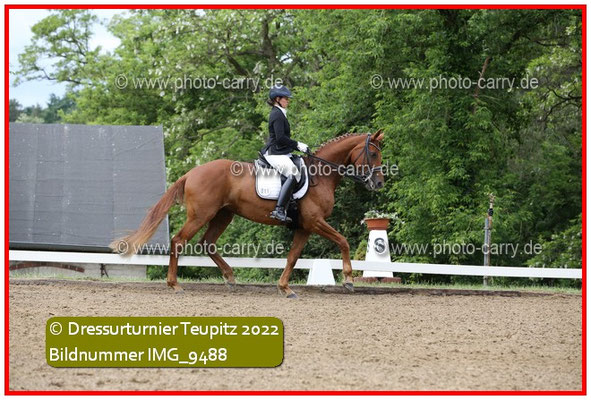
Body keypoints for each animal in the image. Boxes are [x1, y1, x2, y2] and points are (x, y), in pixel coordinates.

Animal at [110, 130, 385, 298]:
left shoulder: (304, 227)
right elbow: (343, 241)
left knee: (207, 243)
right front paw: (348, 280)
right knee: (179, 241)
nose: (379, 183)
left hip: (224, 215)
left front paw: (285, 288)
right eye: (373, 153)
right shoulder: (315, 222)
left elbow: (292, 257)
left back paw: (230, 278)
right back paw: (174, 284)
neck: (321, 175)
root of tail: (192, 172)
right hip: (201, 215)